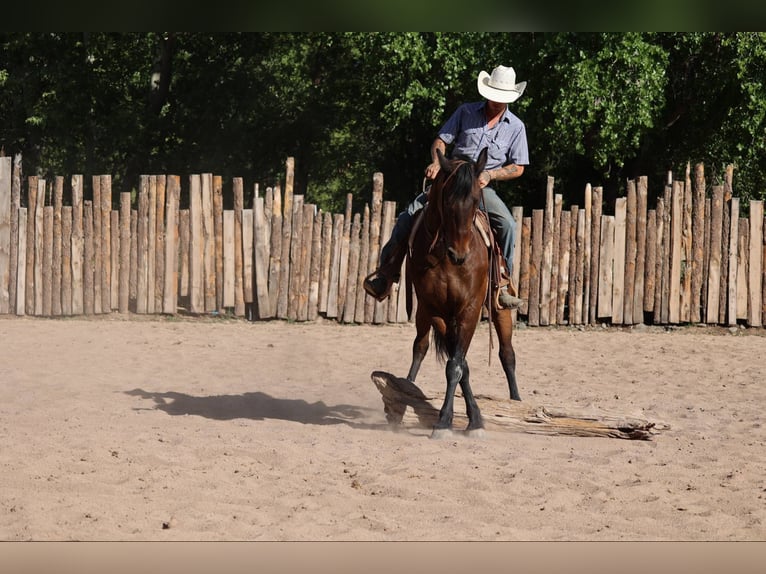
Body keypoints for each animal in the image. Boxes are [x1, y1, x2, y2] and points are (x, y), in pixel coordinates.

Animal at [405, 146, 520, 439]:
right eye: (446, 200)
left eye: (476, 199)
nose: (459, 254)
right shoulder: (436, 311)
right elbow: (460, 365)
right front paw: (466, 418)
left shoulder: (469, 309)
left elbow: (456, 365)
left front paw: (455, 421)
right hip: (424, 314)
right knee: (420, 346)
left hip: (498, 308)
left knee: (507, 354)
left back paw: (517, 401)